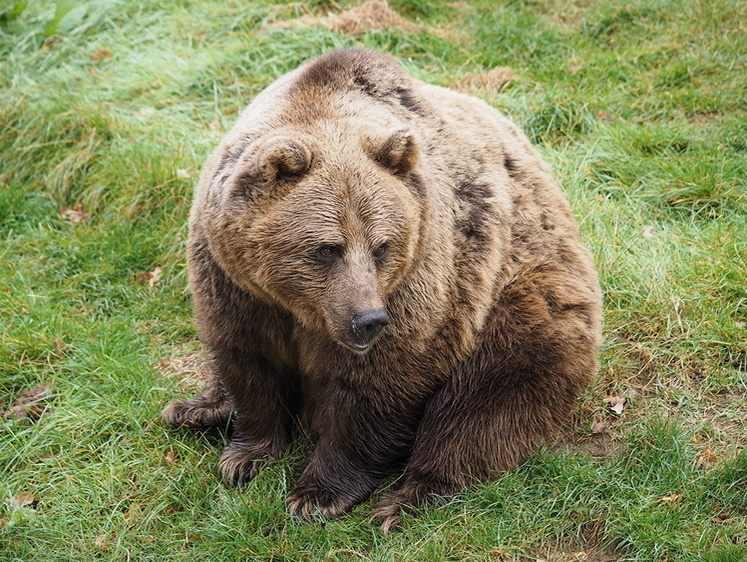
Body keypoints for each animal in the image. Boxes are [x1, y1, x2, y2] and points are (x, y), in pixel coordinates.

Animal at [162, 47, 600, 528]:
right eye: (327, 248)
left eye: (382, 245)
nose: (368, 320)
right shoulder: (234, 283)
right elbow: (248, 358)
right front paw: (245, 456)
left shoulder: (425, 278)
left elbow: (378, 386)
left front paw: (316, 494)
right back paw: (197, 410)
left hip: (521, 298)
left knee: (484, 401)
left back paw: (407, 498)